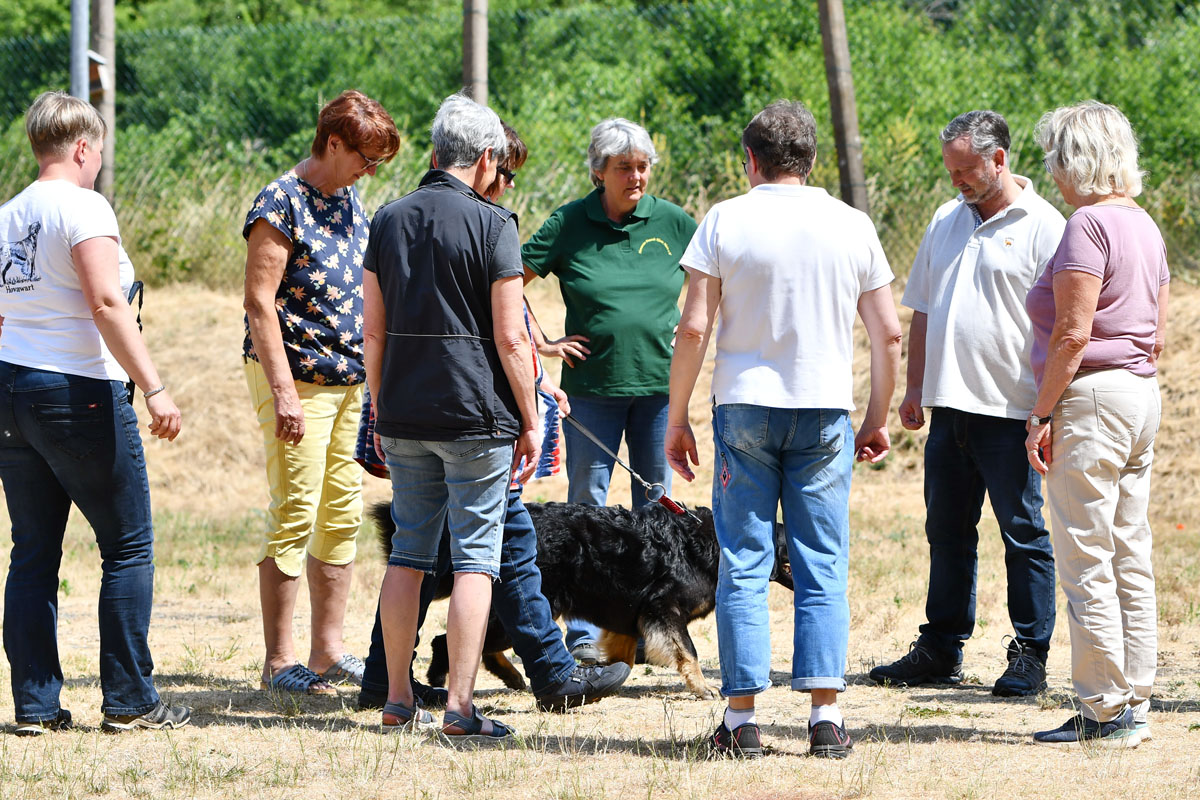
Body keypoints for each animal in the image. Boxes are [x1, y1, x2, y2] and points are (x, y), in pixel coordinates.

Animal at [369, 496, 792, 695]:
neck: (707, 544)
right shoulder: (663, 609)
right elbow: (688, 652)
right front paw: (702, 687)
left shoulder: (629, 616)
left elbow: (623, 654)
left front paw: (608, 675)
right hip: (529, 604)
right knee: (448, 641)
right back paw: (441, 678)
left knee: (476, 644)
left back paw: (511, 677)